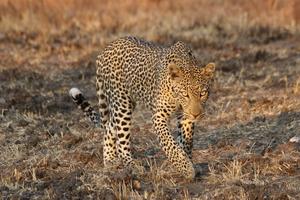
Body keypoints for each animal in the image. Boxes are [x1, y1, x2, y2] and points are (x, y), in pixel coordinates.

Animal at [69, 36, 214, 180]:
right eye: (185, 94)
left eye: (202, 93)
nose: (196, 114)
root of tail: (106, 49)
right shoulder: (159, 116)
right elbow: (169, 144)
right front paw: (186, 169)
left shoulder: (185, 118)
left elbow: (186, 142)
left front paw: (187, 163)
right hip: (122, 104)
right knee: (121, 138)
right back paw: (131, 165)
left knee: (110, 126)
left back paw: (110, 160)